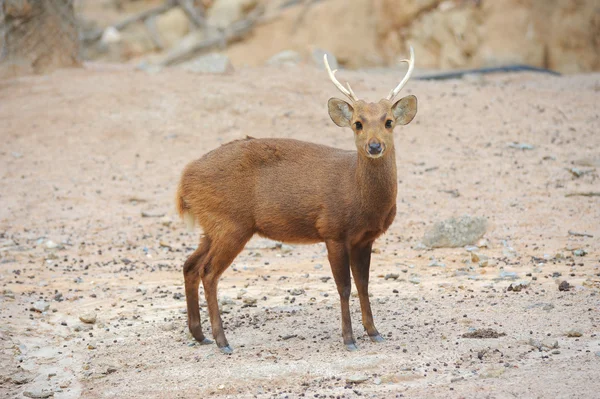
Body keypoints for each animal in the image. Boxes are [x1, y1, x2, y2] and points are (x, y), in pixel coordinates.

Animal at [176, 47, 414, 356]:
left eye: (389, 122)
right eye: (357, 124)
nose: (375, 146)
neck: (358, 195)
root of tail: (185, 179)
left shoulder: (364, 238)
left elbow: (364, 284)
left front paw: (374, 332)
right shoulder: (333, 230)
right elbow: (344, 287)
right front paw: (348, 339)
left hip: (212, 225)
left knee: (190, 265)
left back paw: (199, 334)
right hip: (231, 223)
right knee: (208, 271)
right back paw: (222, 341)